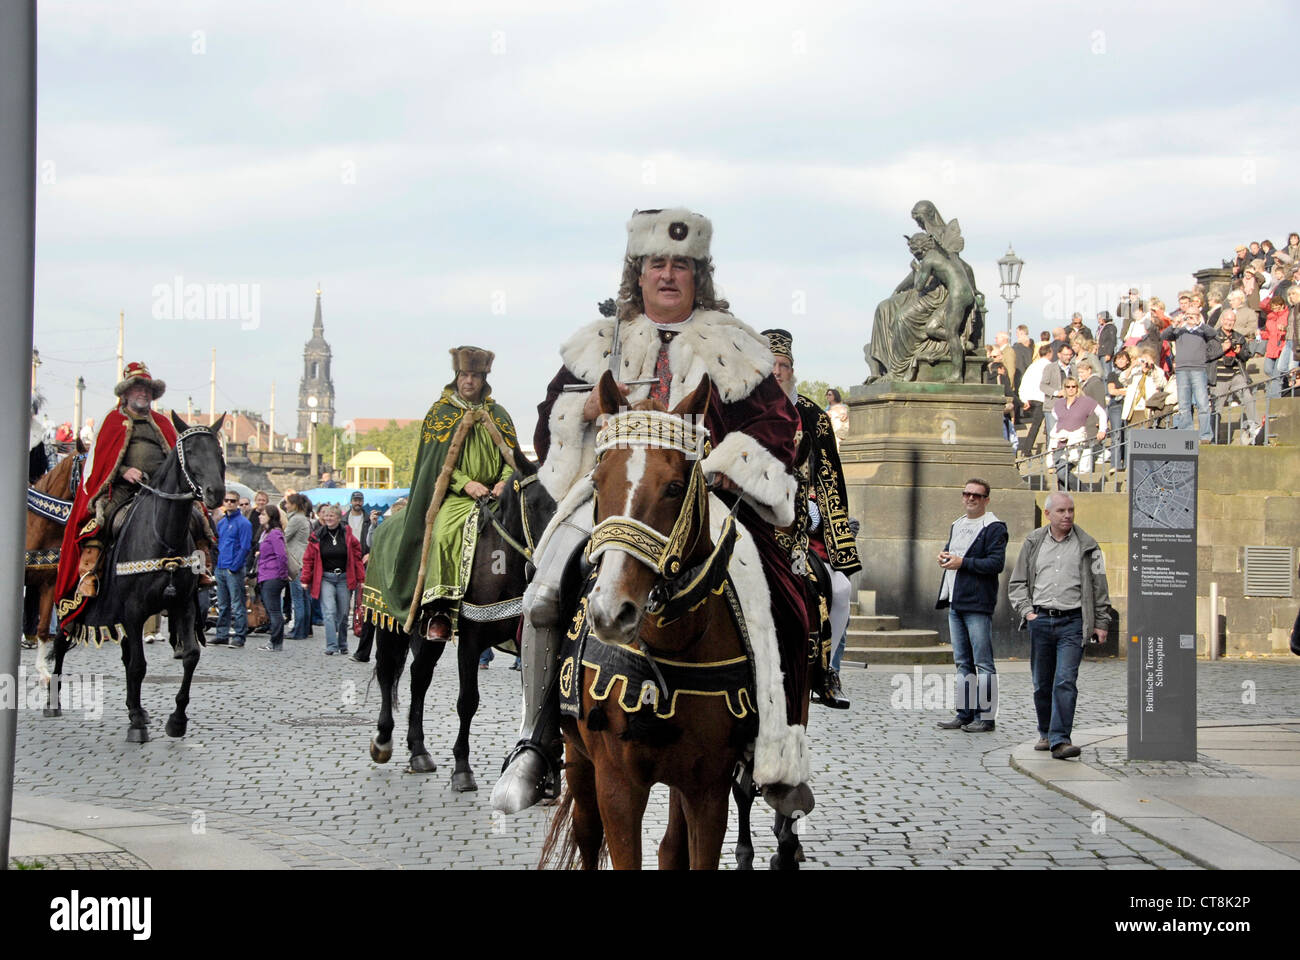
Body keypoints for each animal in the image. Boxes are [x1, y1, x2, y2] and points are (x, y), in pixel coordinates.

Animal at [50, 411, 227, 738]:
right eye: (190, 450)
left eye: (219, 451)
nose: (216, 493)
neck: (164, 536)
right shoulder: (133, 610)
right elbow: (138, 665)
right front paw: (136, 721)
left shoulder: (182, 605)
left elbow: (190, 656)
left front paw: (176, 719)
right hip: (69, 599)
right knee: (61, 640)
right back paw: (52, 702)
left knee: (124, 652)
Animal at [366, 452, 553, 790]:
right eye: (533, 504)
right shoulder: (470, 640)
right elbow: (468, 701)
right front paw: (462, 768)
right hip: (390, 622)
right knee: (387, 671)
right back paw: (383, 741)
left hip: (428, 634)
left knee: (419, 676)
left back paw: (418, 751)